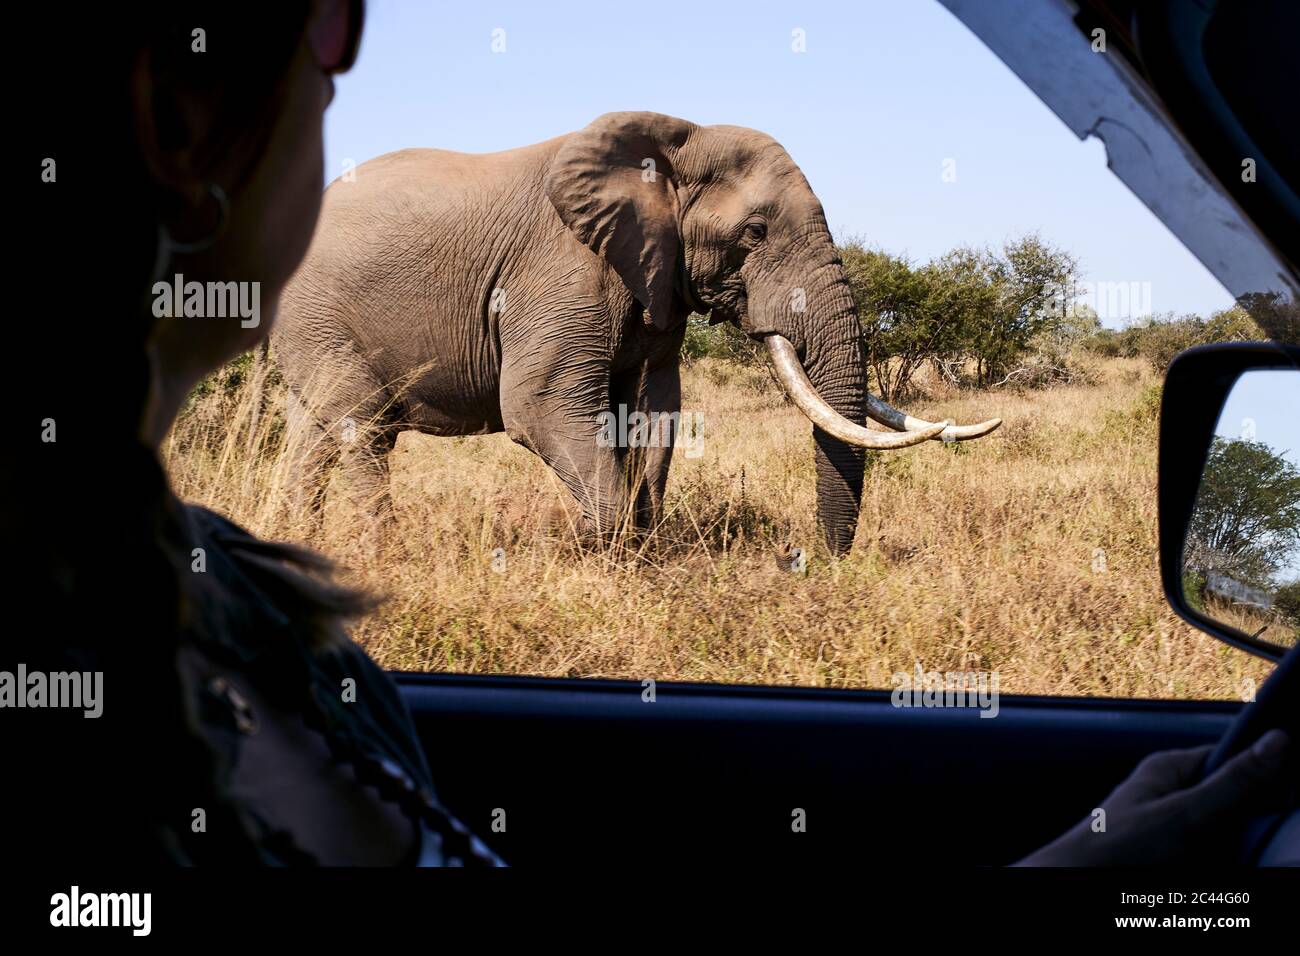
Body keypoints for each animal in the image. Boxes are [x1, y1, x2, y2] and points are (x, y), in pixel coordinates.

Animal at [274, 113, 998, 556]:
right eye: (755, 232)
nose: (815, 563)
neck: (677, 141)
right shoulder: (559, 269)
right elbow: (539, 405)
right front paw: (594, 556)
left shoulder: (658, 280)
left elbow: (653, 409)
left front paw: (641, 553)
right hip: (318, 317)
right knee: (364, 429)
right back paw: (377, 557)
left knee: (313, 437)